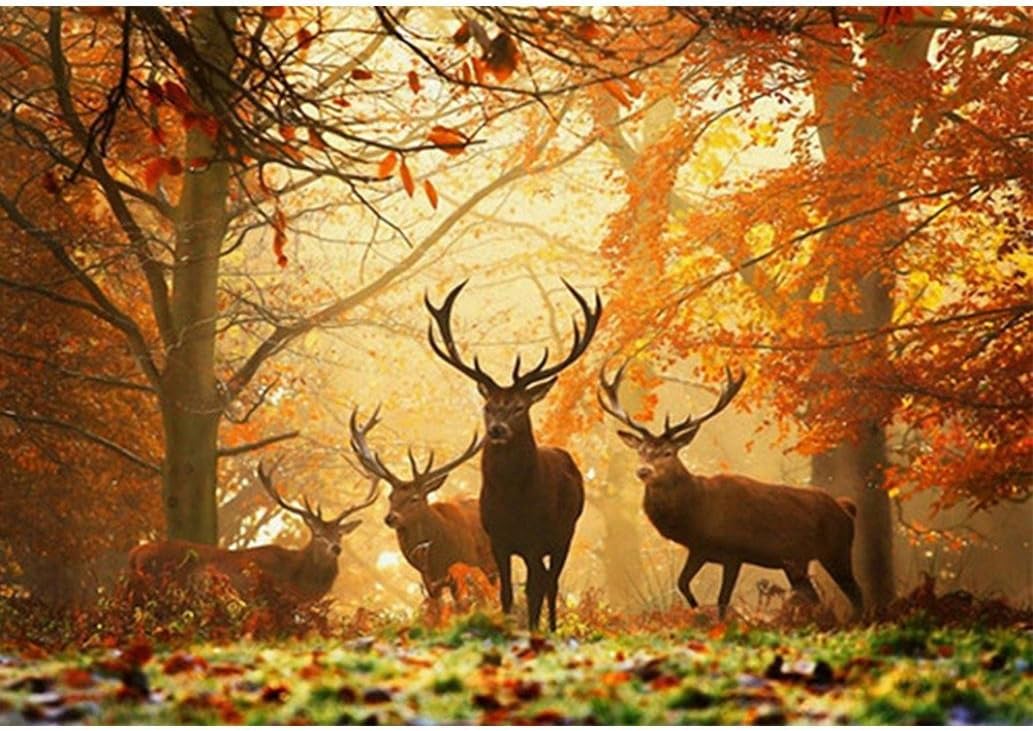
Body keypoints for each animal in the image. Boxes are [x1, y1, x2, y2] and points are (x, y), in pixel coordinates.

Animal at [346, 406, 497, 616]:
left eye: (415, 498)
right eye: (391, 497)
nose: (390, 518)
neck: (440, 553)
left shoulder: (466, 567)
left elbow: (464, 606)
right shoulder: (429, 579)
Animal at [425, 279, 602, 631]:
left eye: (520, 407)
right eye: (488, 406)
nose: (497, 429)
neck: (513, 502)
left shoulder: (536, 538)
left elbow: (534, 590)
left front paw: (534, 631)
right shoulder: (498, 540)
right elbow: (507, 593)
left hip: (566, 532)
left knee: (550, 583)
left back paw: (551, 628)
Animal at [598, 363, 863, 620]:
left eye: (668, 452)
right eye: (640, 450)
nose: (643, 470)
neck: (697, 513)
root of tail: (846, 508)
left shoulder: (734, 551)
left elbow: (722, 599)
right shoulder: (699, 549)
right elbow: (682, 584)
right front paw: (697, 611)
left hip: (837, 550)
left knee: (856, 593)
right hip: (796, 561)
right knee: (813, 596)